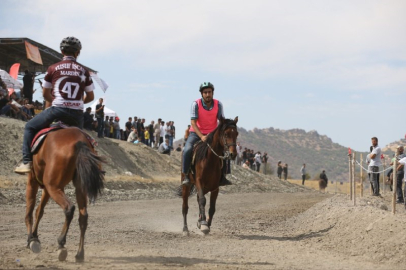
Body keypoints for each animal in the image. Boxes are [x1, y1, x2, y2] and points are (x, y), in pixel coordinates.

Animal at [25, 128, 104, 262]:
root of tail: (79, 141)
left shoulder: (33, 180)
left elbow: (30, 210)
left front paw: (31, 239)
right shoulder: (47, 188)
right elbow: (39, 211)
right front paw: (34, 237)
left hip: (53, 186)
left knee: (69, 208)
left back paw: (61, 243)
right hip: (77, 187)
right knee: (83, 216)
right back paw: (79, 254)